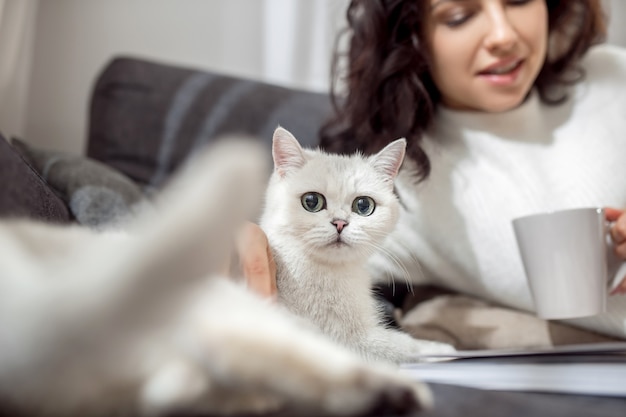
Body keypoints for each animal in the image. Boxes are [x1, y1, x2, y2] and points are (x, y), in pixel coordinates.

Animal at [258, 127, 454, 364]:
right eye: (311, 201)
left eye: (363, 205)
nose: (340, 223)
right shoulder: (345, 338)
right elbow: (403, 346)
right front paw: (441, 349)